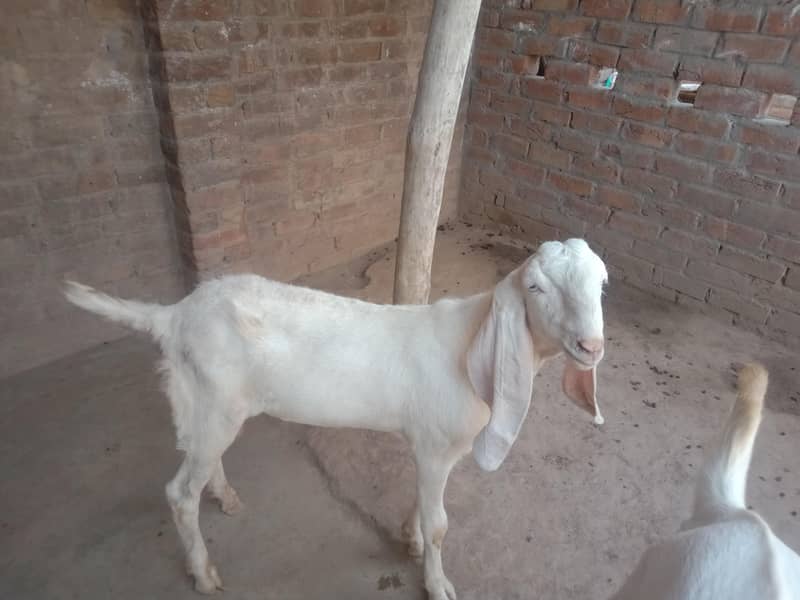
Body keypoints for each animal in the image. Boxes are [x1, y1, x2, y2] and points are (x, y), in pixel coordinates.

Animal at [64, 238, 608, 600]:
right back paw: (203, 573)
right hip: (216, 403)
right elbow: (439, 525)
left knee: (202, 458)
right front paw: (437, 582)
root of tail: (174, 316)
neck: (468, 344)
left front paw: (410, 540)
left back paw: (224, 495)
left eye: (602, 284)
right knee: (179, 493)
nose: (590, 346)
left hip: (211, 403)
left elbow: (421, 504)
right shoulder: (437, 445)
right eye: (535, 287)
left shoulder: (430, 449)